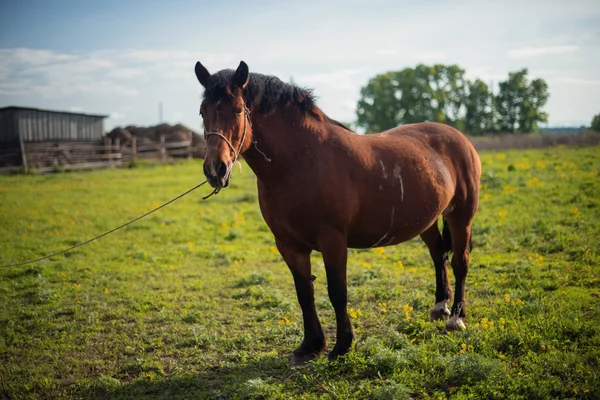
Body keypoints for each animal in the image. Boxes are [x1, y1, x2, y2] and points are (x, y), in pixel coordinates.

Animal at [195, 60, 480, 366]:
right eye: (203, 111)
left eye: (238, 110)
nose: (215, 169)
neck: (301, 162)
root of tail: (458, 137)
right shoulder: (288, 245)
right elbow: (304, 293)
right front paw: (310, 346)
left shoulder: (333, 241)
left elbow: (337, 292)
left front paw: (342, 346)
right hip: (426, 220)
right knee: (438, 254)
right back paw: (440, 306)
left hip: (461, 217)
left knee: (460, 262)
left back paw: (456, 318)